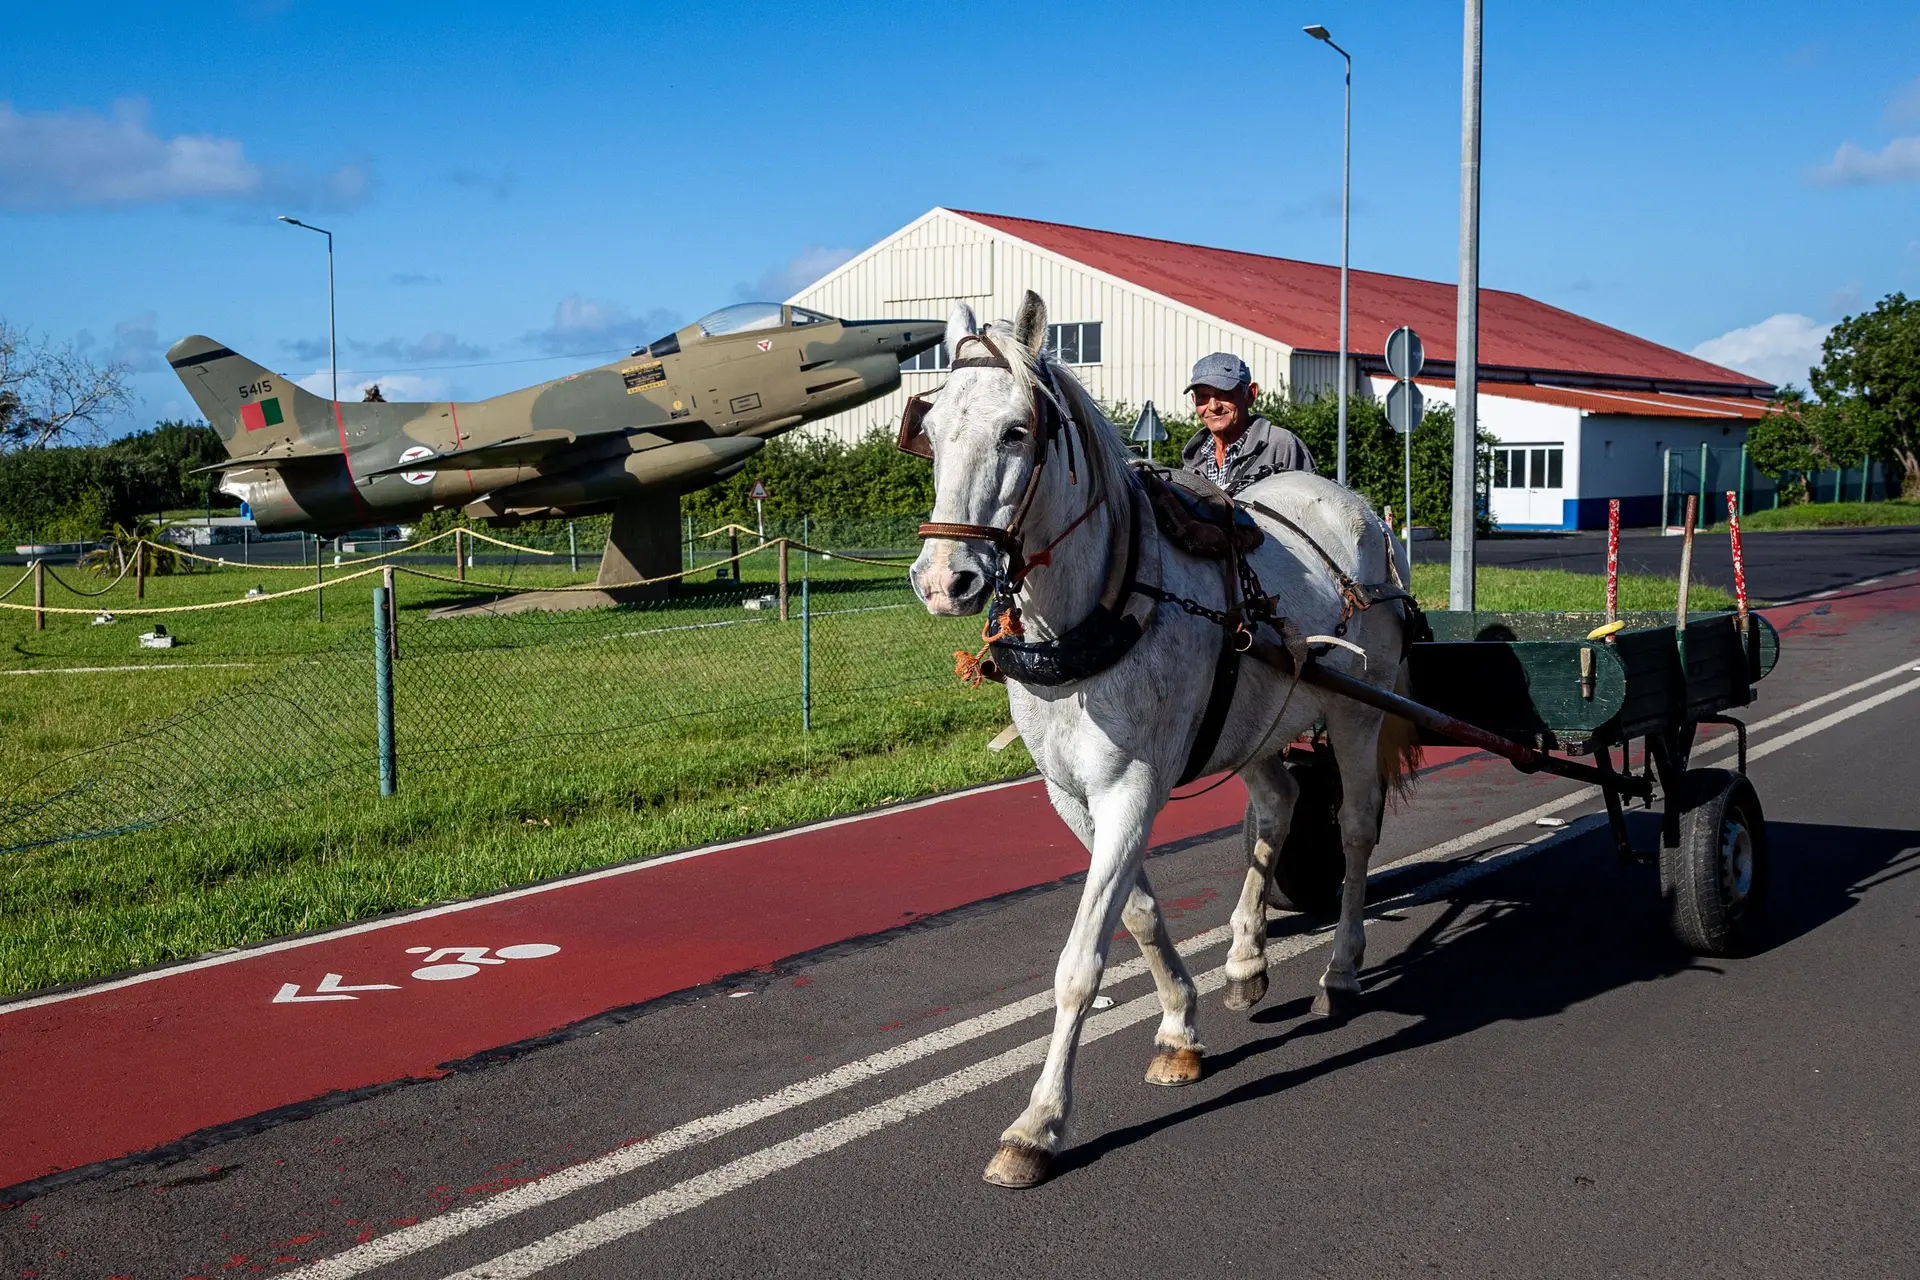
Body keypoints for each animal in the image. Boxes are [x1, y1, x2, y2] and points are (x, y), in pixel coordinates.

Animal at [906, 289, 1420, 1189]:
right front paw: (1180, 1026)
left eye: (1015, 430)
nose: (944, 581)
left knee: (1356, 829)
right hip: (1256, 724)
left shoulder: (1132, 788)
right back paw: (1246, 961)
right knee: (1279, 805)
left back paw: (1342, 968)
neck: (1096, 608)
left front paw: (1038, 1123)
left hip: (1360, 712)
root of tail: (1360, 510)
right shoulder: (1073, 795)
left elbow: (1081, 962)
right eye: (930, 430)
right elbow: (1140, 915)